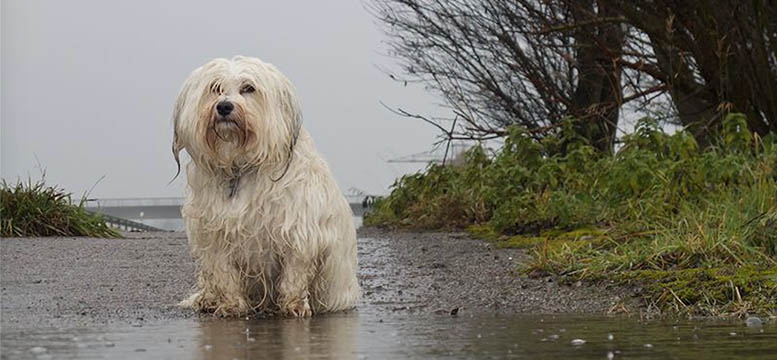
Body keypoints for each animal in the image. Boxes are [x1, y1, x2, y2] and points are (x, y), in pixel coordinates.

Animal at [171, 54, 360, 316]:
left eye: (248, 88)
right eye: (215, 88)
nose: (224, 107)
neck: (240, 167)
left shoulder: (297, 230)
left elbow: (294, 274)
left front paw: (293, 306)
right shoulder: (215, 236)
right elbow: (224, 274)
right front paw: (231, 305)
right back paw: (208, 300)